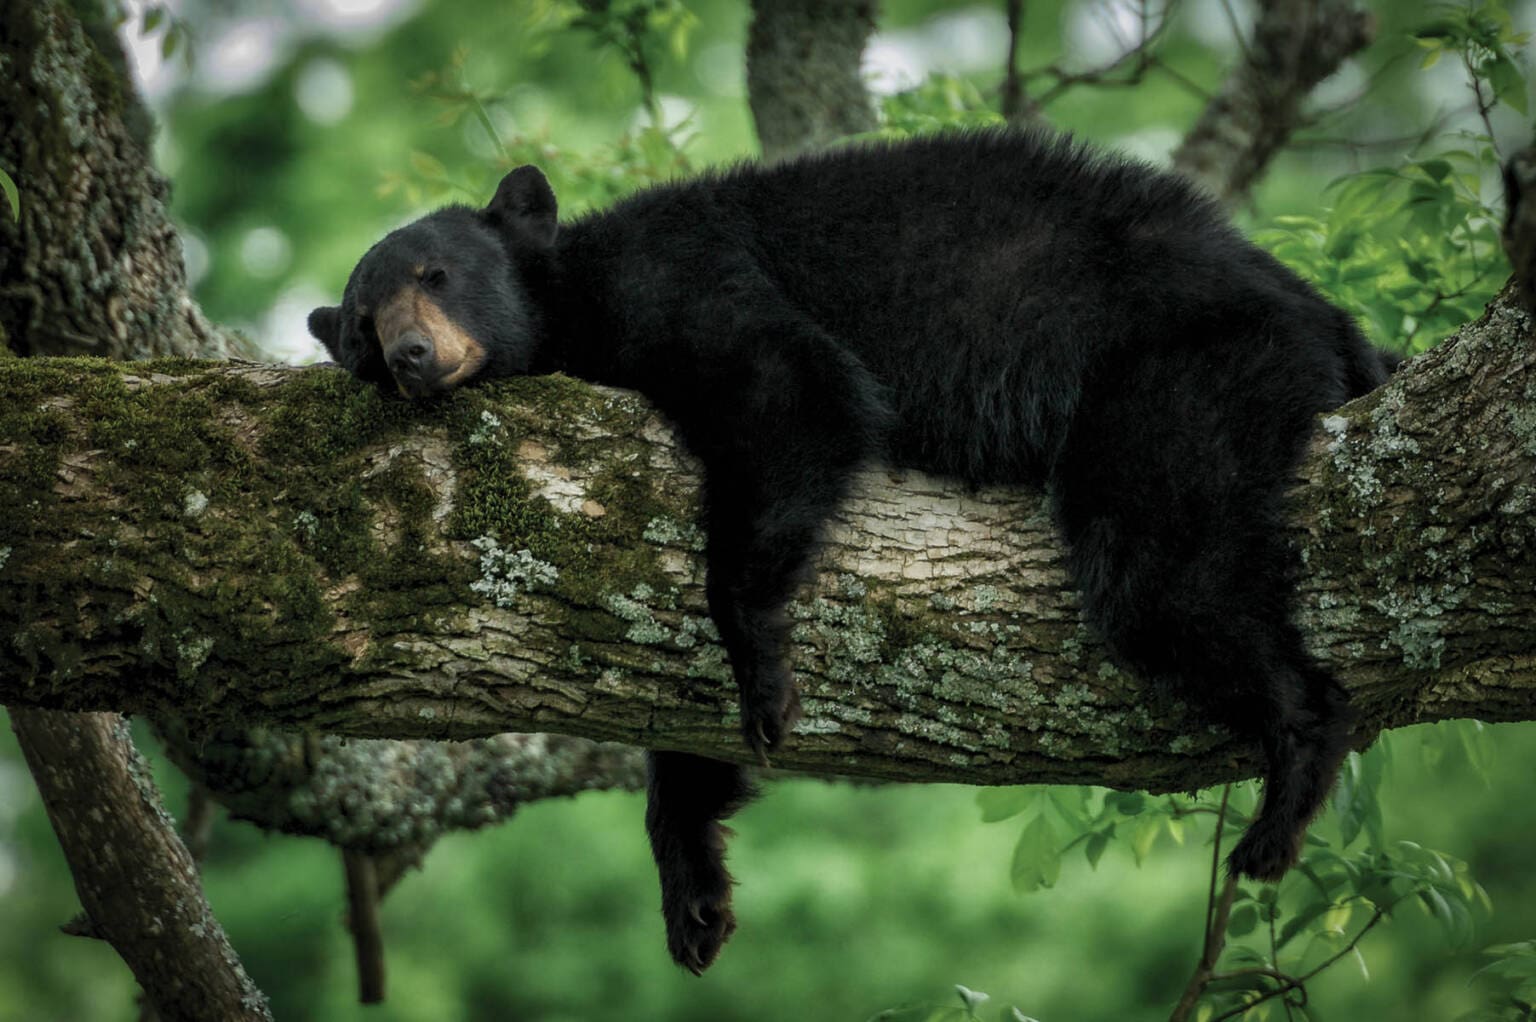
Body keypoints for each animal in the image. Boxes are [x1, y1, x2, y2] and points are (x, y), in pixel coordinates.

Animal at [309, 128, 1394, 974]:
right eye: (360, 322)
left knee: (1165, 568)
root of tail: (1327, 316)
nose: (409, 355)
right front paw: (693, 890)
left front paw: (761, 668)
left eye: (435, 274)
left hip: (1189, 373)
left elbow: (789, 382)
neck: (575, 302)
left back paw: (1285, 791)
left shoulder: (674, 274)